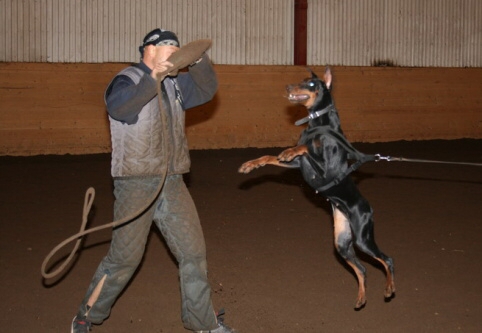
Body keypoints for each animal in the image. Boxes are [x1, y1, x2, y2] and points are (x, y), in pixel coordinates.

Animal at [239, 67, 394, 308]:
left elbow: (306, 147)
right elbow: (272, 157)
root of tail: (369, 208)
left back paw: (389, 288)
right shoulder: (297, 166)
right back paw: (361, 298)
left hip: (362, 237)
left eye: (311, 84)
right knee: (362, 268)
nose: (287, 87)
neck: (318, 124)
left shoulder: (325, 170)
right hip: (342, 241)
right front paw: (251, 164)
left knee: (387, 260)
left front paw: (294, 148)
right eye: (302, 80)